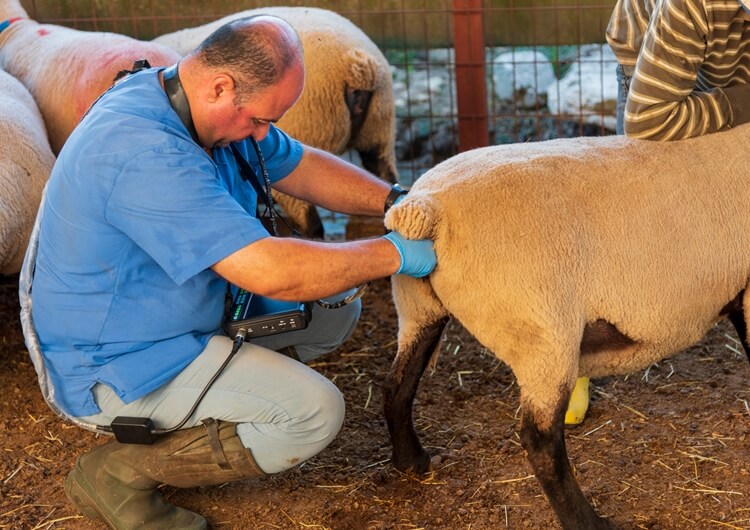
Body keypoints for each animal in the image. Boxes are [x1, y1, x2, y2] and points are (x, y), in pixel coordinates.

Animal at [384, 120, 750, 528]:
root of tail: (426, 207)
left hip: (418, 308)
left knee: (397, 387)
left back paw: (413, 463)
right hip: (542, 335)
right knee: (540, 439)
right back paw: (587, 521)